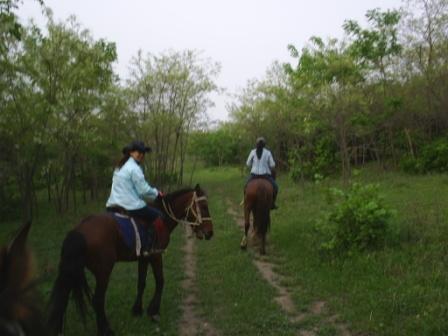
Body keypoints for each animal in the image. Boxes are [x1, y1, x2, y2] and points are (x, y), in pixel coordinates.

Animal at [47, 185, 214, 334]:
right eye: (204, 206)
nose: (210, 233)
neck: (162, 217)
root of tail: (79, 231)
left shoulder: (143, 258)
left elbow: (141, 283)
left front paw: (137, 309)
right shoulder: (156, 256)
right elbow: (160, 281)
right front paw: (154, 311)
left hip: (73, 272)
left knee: (63, 299)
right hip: (103, 271)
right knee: (98, 300)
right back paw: (105, 329)